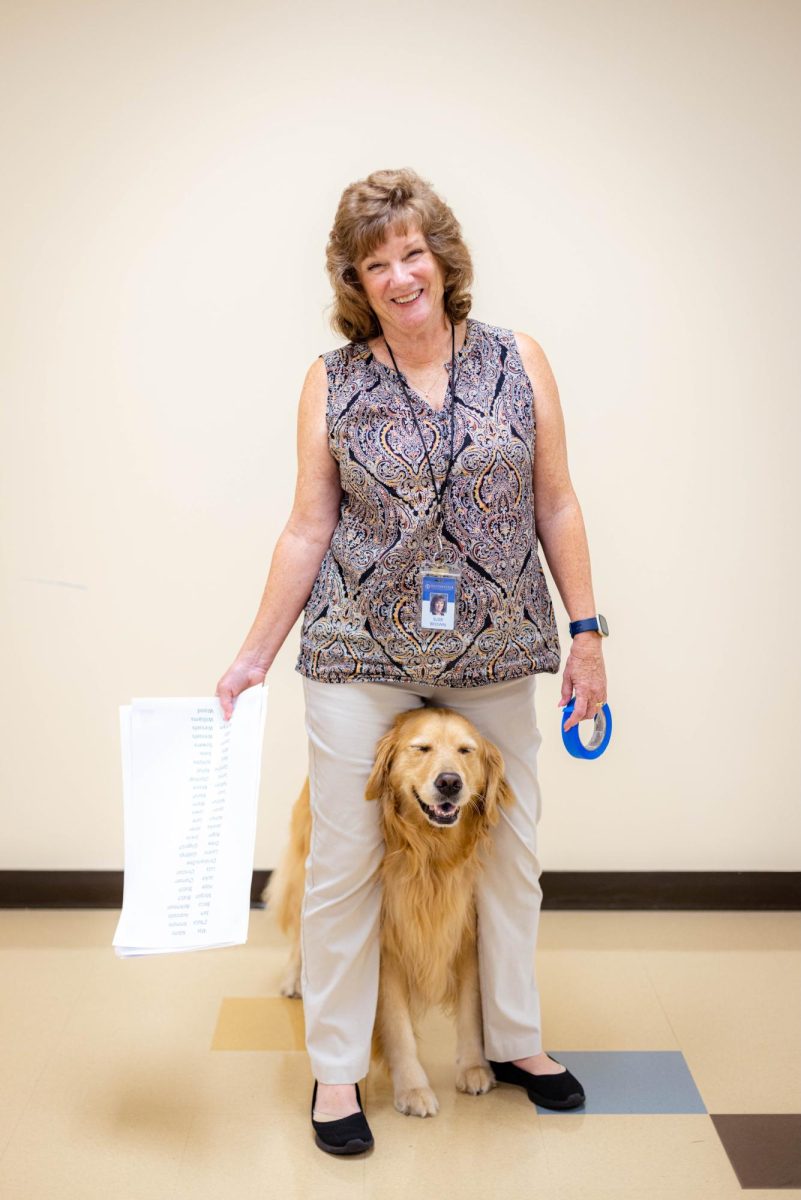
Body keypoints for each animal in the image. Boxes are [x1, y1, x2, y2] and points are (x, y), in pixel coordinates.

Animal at [262, 705, 513, 1118]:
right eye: (421, 748)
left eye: (466, 751)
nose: (449, 782)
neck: (428, 856)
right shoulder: (385, 944)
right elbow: (397, 1025)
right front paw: (412, 1087)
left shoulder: (464, 929)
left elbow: (470, 1008)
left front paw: (474, 1067)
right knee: (304, 926)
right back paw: (297, 980)